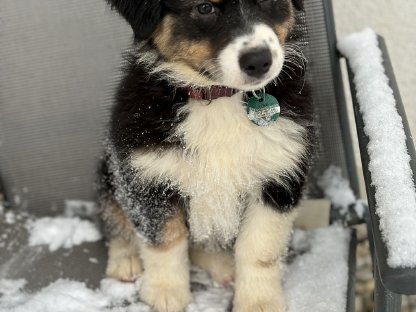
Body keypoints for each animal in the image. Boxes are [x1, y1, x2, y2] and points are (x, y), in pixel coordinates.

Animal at [100, 0, 316, 310]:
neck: (218, 97)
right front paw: (166, 293)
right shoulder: (147, 174)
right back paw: (126, 260)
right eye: (204, 8)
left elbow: (259, 248)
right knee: (114, 214)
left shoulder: (278, 176)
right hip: (110, 170)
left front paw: (259, 301)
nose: (259, 61)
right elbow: (165, 239)